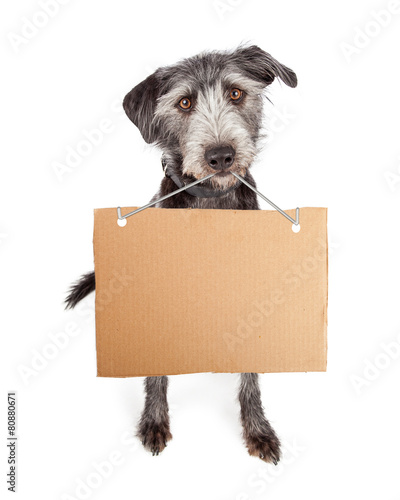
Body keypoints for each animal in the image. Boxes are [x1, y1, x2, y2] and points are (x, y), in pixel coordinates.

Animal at [66, 45, 296, 462]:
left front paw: (257, 428)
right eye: (184, 103)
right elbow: (155, 367)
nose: (221, 155)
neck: (212, 206)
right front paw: (154, 419)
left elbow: (252, 372)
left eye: (236, 93)